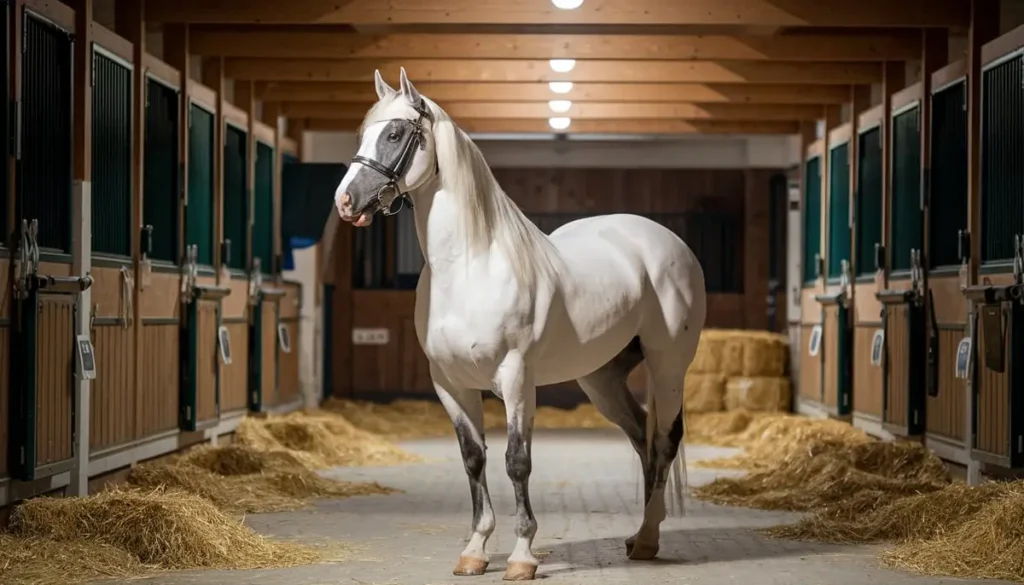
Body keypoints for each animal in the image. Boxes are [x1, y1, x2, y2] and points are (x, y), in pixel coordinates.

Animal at [335, 67, 704, 581]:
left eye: (394, 134)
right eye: (363, 134)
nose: (346, 201)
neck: (470, 266)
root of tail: (666, 242)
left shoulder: (516, 379)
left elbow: (516, 461)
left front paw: (522, 556)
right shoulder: (449, 383)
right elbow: (474, 459)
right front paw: (474, 550)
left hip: (668, 367)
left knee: (665, 441)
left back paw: (649, 539)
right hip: (601, 378)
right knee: (641, 438)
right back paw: (637, 537)